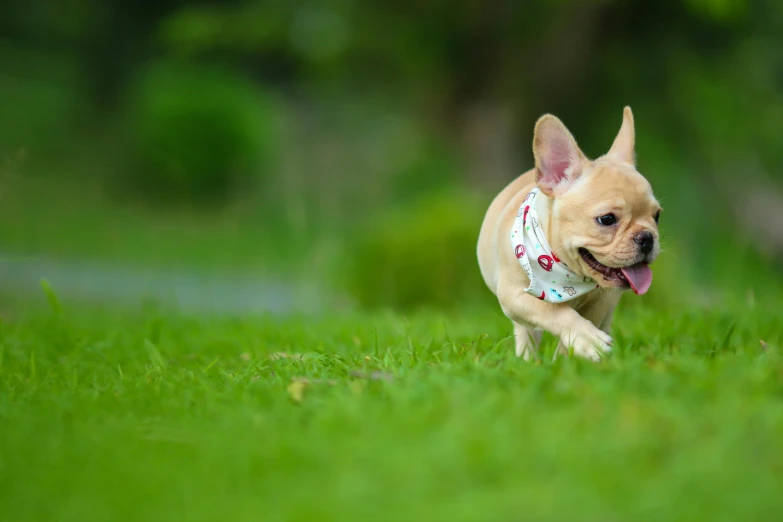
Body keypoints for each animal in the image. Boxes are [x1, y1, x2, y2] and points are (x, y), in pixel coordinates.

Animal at [478, 105, 660, 358]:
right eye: (606, 219)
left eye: (657, 216)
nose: (647, 238)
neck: (566, 274)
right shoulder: (514, 295)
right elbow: (551, 312)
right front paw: (586, 340)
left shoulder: (601, 301)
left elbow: (584, 321)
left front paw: (568, 357)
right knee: (527, 333)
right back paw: (526, 360)